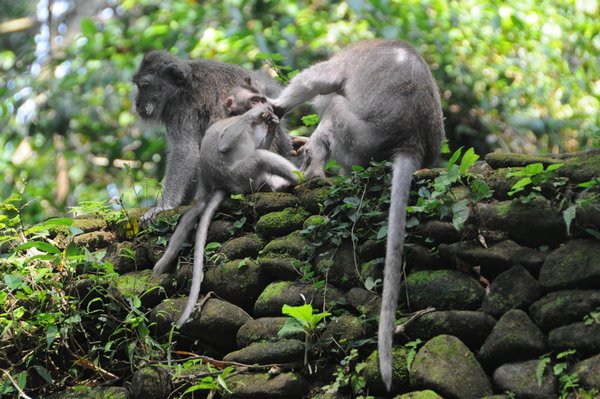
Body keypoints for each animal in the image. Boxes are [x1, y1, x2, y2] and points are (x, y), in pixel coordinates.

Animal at [132, 50, 292, 227]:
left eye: (144, 86)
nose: (137, 103)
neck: (182, 85)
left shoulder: (181, 108)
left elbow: (185, 151)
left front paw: (164, 206)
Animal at [152, 83, 298, 326]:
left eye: (261, 97)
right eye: (255, 100)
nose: (266, 105)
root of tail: (224, 185)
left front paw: (272, 124)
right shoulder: (232, 124)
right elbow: (225, 143)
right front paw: (257, 115)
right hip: (242, 177)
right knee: (259, 157)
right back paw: (304, 177)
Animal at [272, 39, 446, 390]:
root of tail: (412, 143)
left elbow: (321, 80)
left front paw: (274, 106)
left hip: (362, 139)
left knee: (336, 108)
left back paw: (310, 172)